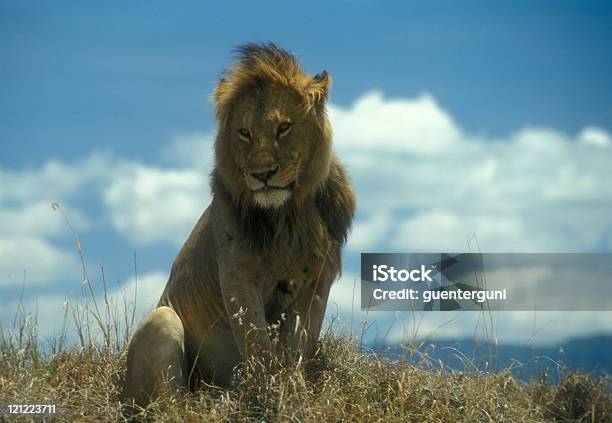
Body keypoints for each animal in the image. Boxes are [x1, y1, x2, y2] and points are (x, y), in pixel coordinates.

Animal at [122, 42, 356, 408]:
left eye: (284, 127)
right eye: (244, 133)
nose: (262, 174)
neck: (287, 217)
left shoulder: (318, 281)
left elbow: (300, 343)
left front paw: (295, 391)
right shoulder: (237, 276)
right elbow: (257, 343)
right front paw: (269, 396)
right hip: (162, 321)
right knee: (166, 404)